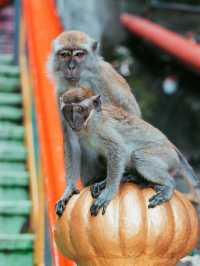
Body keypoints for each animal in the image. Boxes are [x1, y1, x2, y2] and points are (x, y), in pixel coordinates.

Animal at [47, 30, 141, 216]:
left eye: (79, 54)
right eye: (64, 54)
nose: (71, 67)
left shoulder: (101, 81)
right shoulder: (60, 94)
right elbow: (71, 137)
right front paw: (69, 189)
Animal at [61, 93, 199, 216]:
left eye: (80, 109)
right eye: (69, 111)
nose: (75, 122)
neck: (88, 127)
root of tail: (173, 147)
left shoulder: (103, 128)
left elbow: (118, 149)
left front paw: (108, 192)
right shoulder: (69, 129)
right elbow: (73, 149)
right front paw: (69, 191)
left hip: (166, 155)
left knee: (139, 156)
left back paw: (168, 184)